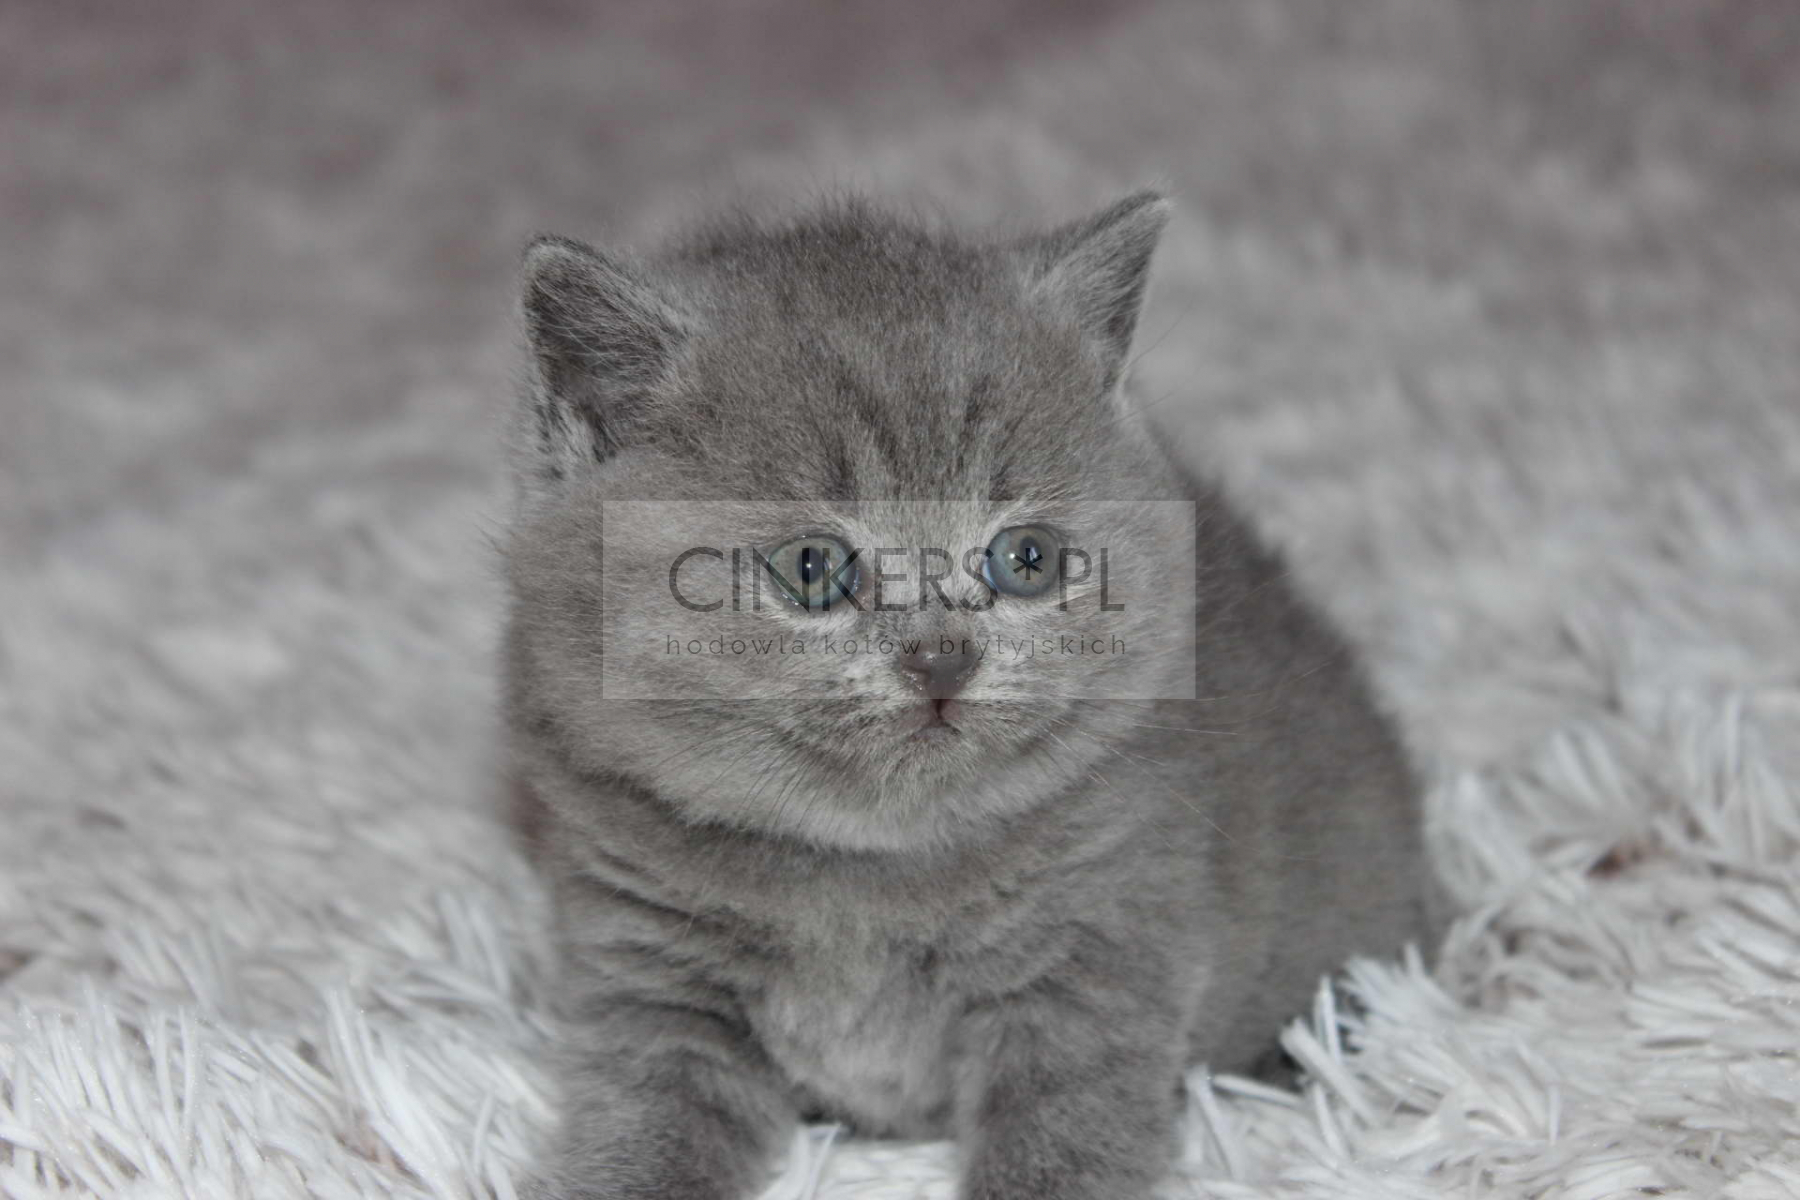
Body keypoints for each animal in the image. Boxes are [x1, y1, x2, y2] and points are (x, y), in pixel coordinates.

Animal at [502, 191, 1440, 1200]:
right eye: (811, 567)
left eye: (1026, 559)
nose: (942, 659)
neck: (864, 872)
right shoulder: (646, 970)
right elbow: (640, 1132)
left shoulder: (1095, 957)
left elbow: (1061, 1146)